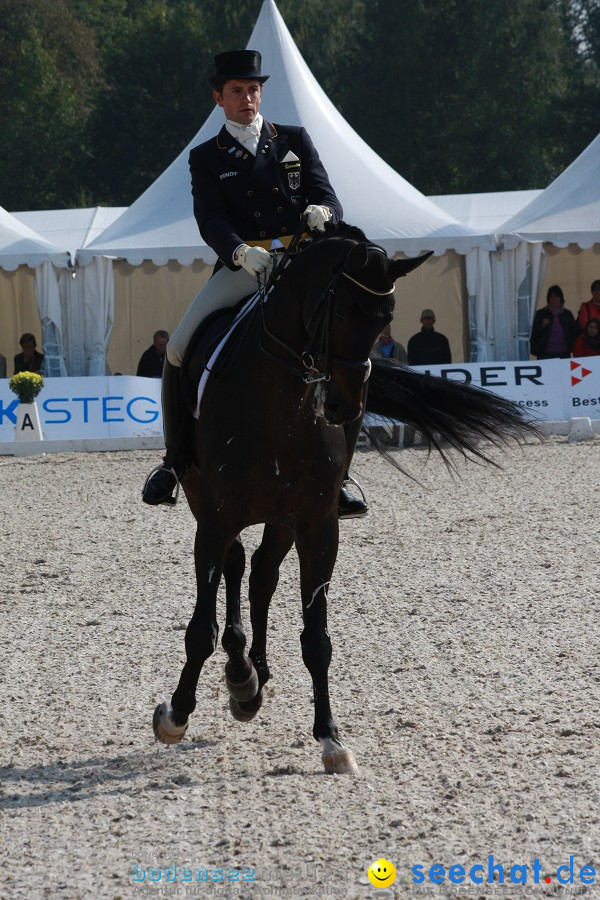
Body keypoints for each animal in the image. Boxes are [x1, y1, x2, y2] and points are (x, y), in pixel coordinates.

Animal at [152, 223, 532, 772]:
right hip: (211, 504)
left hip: (281, 518)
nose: (342, 405)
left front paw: (330, 736)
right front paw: (175, 715)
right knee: (238, 566)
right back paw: (240, 670)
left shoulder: (317, 525)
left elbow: (317, 638)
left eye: (386, 317)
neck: (278, 404)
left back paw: (250, 679)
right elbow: (199, 628)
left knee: (260, 575)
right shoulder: (218, 518)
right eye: (340, 311)